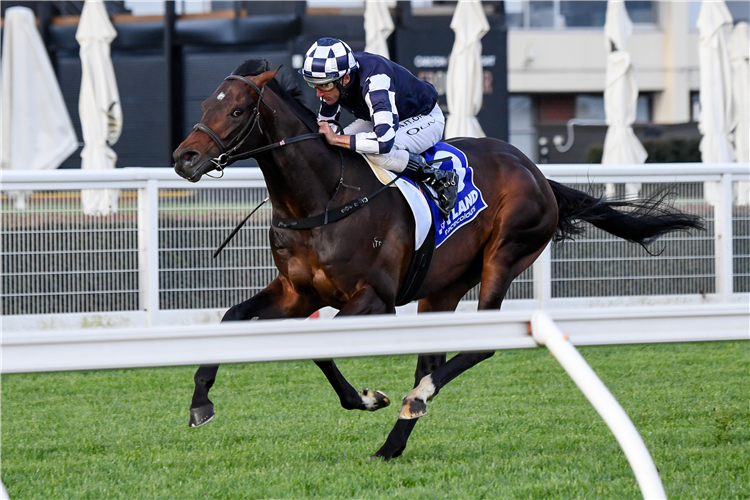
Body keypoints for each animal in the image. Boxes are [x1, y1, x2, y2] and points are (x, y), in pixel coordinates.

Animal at [173, 58, 704, 460]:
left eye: (237, 110)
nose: (184, 158)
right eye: (204, 105)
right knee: (432, 358)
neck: (322, 198)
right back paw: (393, 442)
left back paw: (415, 400)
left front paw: (367, 398)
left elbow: (319, 347)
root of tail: (535, 171)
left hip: (505, 255)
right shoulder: (297, 292)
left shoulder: (375, 299)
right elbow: (231, 318)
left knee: (479, 346)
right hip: (442, 287)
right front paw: (201, 403)